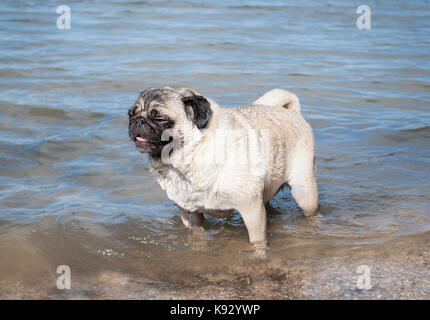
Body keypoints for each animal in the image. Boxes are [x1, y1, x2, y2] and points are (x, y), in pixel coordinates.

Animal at [126, 87, 318, 248]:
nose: (138, 120)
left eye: (160, 119)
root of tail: (290, 112)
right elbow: (196, 233)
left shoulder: (252, 210)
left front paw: (259, 255)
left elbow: (257, 241)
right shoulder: (189, 212)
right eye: (130, 115)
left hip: (303, 192)